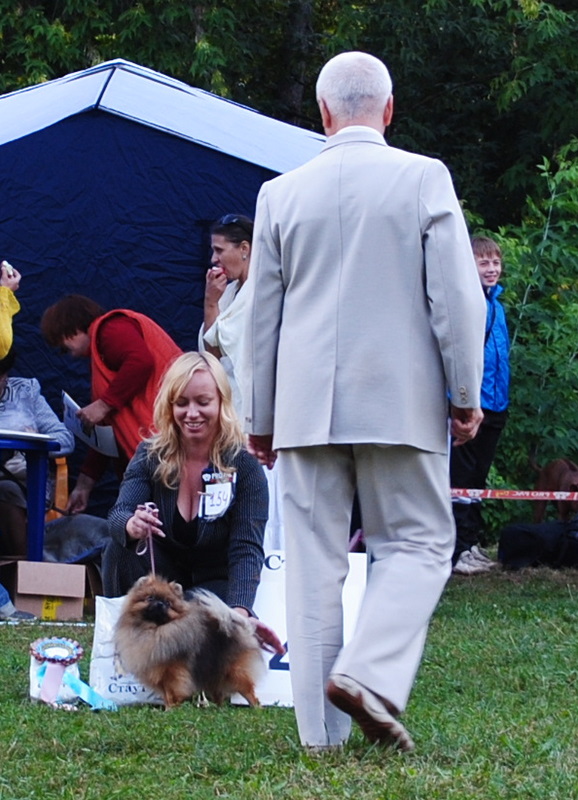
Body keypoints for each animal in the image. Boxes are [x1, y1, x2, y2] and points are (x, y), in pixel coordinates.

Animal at [114, 575, 266, 708]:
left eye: (168, 603)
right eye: (150, 598)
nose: (160, 603)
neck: (155, 630)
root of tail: (241, 629)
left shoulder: (173, 674)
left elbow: (171, 694)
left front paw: (170, 711)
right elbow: (166, 696)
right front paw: (167, 709)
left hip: (236, 672)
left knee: (249, 693)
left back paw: (256, 708)